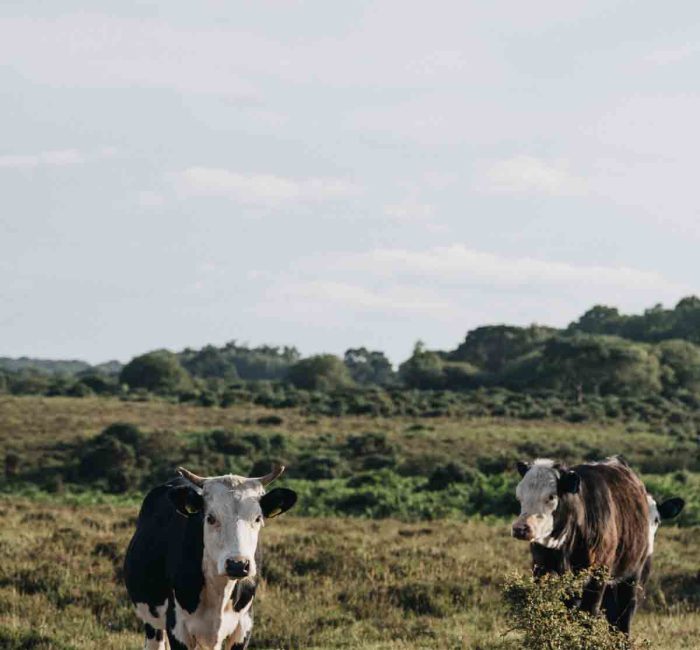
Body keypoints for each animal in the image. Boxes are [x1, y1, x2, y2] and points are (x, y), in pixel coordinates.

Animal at [124, 464, 296, 644]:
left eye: (257, 518)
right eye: (210, 518)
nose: (238, 565)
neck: (220, 591)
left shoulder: (244, 625)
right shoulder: (177, 628)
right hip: (152, 621)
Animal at [508, 454, 652, 632]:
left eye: (551, 496)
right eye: (519, 496)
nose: (520, 528)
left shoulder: (598, 574)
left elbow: (588, 614)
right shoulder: (541, 569)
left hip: (631, 575)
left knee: (623, 616)